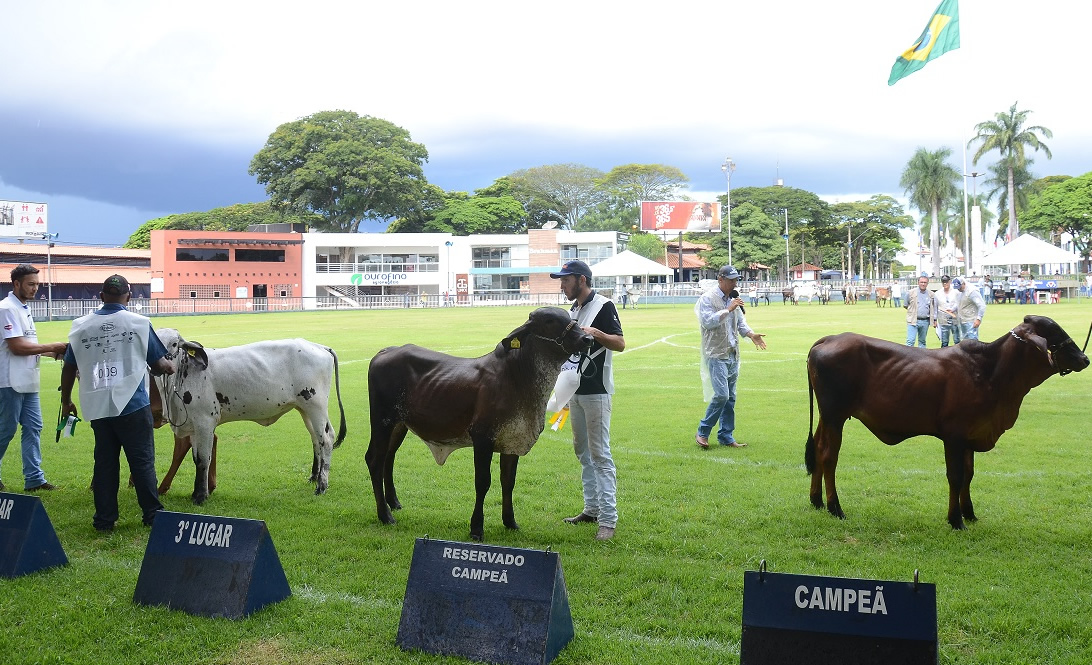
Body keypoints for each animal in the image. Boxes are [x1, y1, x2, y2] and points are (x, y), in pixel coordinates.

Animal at [152, 329, 345, 506]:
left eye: (174, 343)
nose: (158, 365)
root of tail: (320, 347)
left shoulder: (205, 422)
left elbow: (203, 459)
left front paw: (200, 496)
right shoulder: (193, 426)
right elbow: (195, 458)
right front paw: (196, 493)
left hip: (316, 406)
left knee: (327, 439)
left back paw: (321, 486)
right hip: (305, 409)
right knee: (316, 439)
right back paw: (314, 477)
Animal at [366, 305, 594, 539]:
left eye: (571, 319)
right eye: (549, 321)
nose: (588, 338)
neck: (518, 376)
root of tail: (387, 350)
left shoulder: (512, 438)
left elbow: (508, 481)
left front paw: (510, 522)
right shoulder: (483, 437)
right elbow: (483, 482)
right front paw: (476, 528)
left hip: (398, 424)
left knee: (389, 457)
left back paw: (393, 503)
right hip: (382, 420)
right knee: (374, 459)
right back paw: (385, 515)